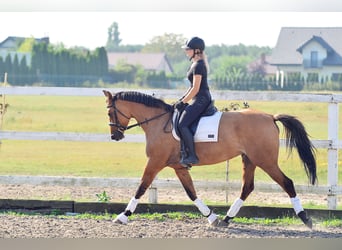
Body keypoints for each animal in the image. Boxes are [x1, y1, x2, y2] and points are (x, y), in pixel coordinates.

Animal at [103, 90, 316, 229]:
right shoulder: (178, 167)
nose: (115, 136)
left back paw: (306, 219)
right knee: (247, 187)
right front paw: (211, 217)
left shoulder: (155, 162)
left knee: (287, 183)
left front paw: (122, 216)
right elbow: (191, 193)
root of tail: (270, 117)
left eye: (109, 112)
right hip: (250, 160)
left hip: (265, 160)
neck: (158, 121)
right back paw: (226, 219)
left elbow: (141, 187)